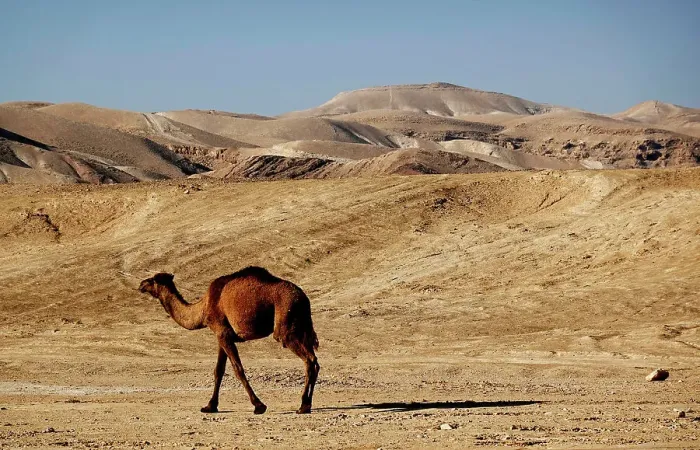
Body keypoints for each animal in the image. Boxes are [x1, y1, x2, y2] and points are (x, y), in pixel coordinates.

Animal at [138, 266, 320, 414]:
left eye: (152, 279)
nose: (141, 284)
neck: (203, 308)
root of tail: (304, 298)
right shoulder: (222, 336)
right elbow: (218, 370)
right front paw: (210, 406)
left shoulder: (222, 332)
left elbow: (238, 369)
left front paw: (259, 405)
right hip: (301, 327)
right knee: (315, 362)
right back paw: (307, 405)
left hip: (285, 328)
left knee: (308, 360)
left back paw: (303, 406)